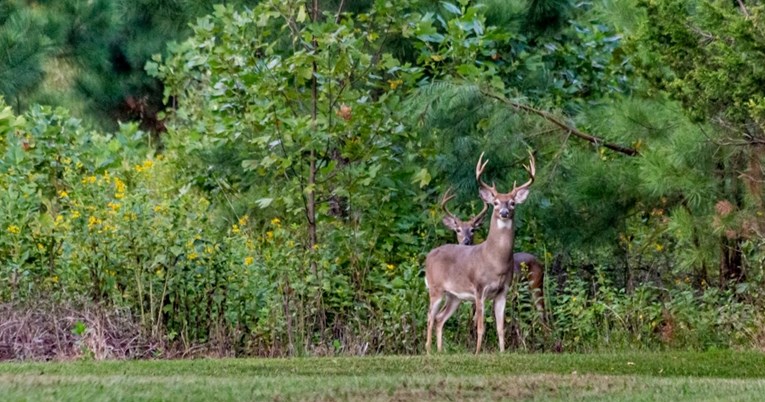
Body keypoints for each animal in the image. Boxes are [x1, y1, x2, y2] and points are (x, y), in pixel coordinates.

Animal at [424, 152, 536, 354]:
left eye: (513, 203)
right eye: (496, 203)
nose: (504, 212)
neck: (495, 260)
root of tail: (429, 255)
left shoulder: (502, 291)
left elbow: (500, 327)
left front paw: (502, 352)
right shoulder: (479, 289)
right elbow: (481, 326)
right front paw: (476, 353)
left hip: (454, 296)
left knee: (440, 318)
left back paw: (440, 351)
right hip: (435, 288)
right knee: (430, 316)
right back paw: (428, 351)